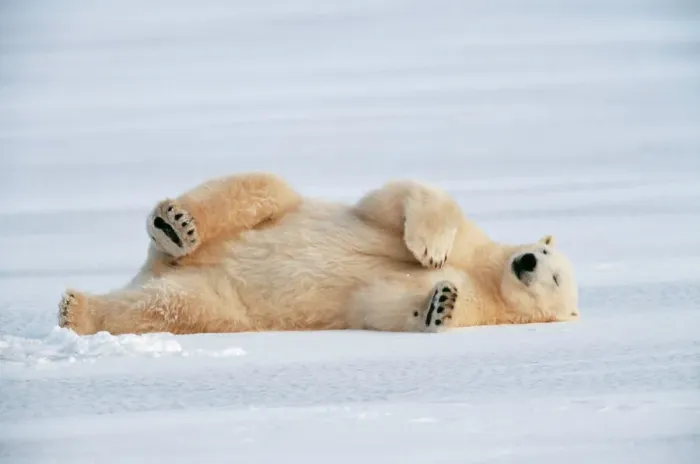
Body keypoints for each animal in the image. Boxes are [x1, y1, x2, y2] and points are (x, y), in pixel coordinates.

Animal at [57, 171, 580, 336]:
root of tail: (154, 267)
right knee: (257, 190)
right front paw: (430, 248)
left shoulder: (483, 303)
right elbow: (399, 202)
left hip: (217, 298)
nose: (527, 262)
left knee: (169, 306)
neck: (489, 271)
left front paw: (440, 303)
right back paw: (175, 225)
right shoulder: (473, 240)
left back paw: (77, 310)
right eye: (540, 250)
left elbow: (380, 303)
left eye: (555, 280)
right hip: (265, 215)